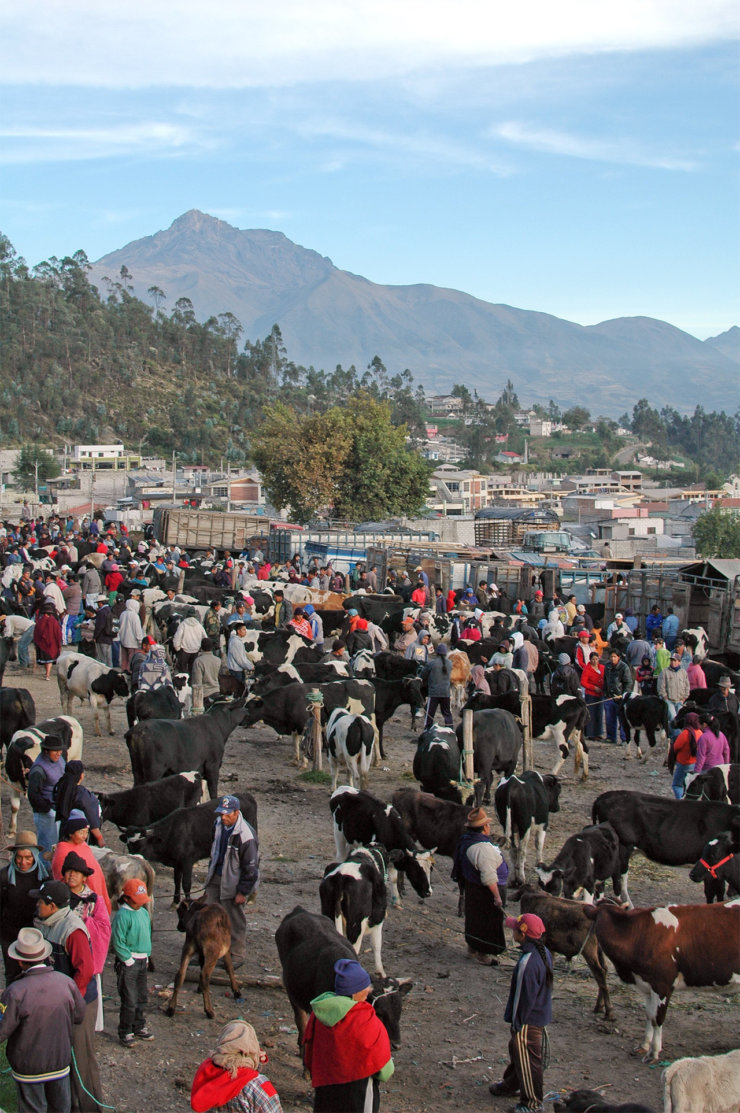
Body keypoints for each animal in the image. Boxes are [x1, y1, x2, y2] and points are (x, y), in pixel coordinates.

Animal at [121, 792, 257, 903]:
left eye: (141, 845)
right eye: (129, 845)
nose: (132, 859)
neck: (171, 832)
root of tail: (245, 795)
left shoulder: (187, 861)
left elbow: (186, 884)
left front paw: (187, 902)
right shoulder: (177, 863)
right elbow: (177, 880)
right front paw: (175, 902)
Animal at [272, 903, 409, 1050]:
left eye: (399, 1011)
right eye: (379, 1013)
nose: (396, 1045)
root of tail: (299, 911)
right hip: (292, 991)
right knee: (301, 1024)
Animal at [583, 894, 738, 1059]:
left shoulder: (663, 985)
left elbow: (658, 1018)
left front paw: (654, 1052)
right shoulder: (647, 986)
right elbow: (649, 1015)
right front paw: (644, 1046)